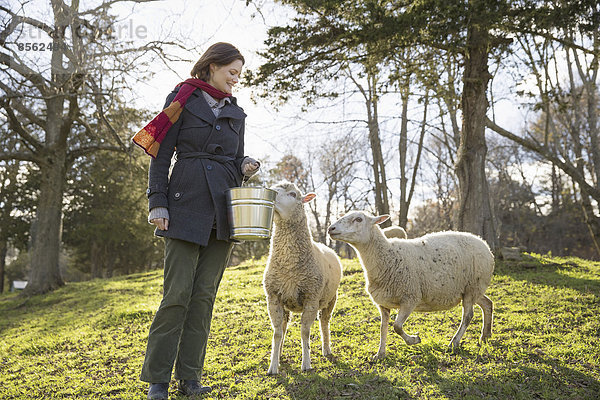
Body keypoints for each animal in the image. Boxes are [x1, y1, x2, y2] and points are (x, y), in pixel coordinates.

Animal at [264, 182, 342, 376]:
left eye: (293, 194)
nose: (271, 193)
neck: (289, 268)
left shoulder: (311, 298)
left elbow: (305, 331)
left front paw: (306, 364)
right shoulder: (273, 298)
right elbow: (277, 332)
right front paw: (273, 366)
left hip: (331, 299)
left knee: (324, 323)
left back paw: (326, 349)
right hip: (286, 304)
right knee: (284, 327)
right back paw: (280, 353)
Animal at [328, 211, 492, 358]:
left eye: (358, 219)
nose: (331, 228)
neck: (387, 256)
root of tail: (483, 243)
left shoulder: (410, 298)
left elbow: (397, 327)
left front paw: (414, 340)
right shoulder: (383, 304)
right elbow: (383, 328)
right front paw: (380, 354)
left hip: (472, 286)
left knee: (468, 316)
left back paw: (454, 342)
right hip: (471, 290)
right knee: (487, 303)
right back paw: (485, 335)